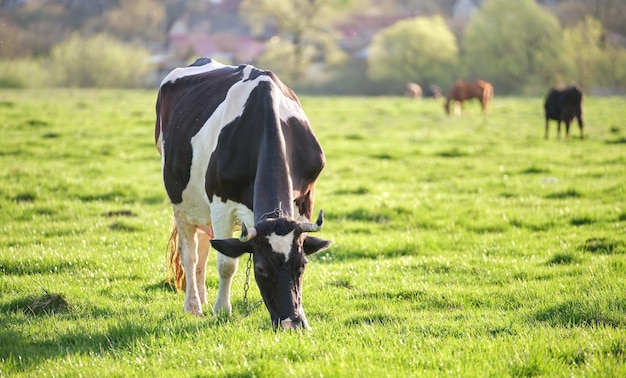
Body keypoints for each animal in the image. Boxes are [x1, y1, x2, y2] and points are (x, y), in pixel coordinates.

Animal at [155, 57, 332, 330]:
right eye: (261, 269)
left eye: (302, 265)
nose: (292, 323)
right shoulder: (221, 204)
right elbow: (226, 263)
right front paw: (222, 310)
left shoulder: (305, 199)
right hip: (181, 202)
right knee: (191, 254)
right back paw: (194, 306)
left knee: (204, 248)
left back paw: (202, 299)